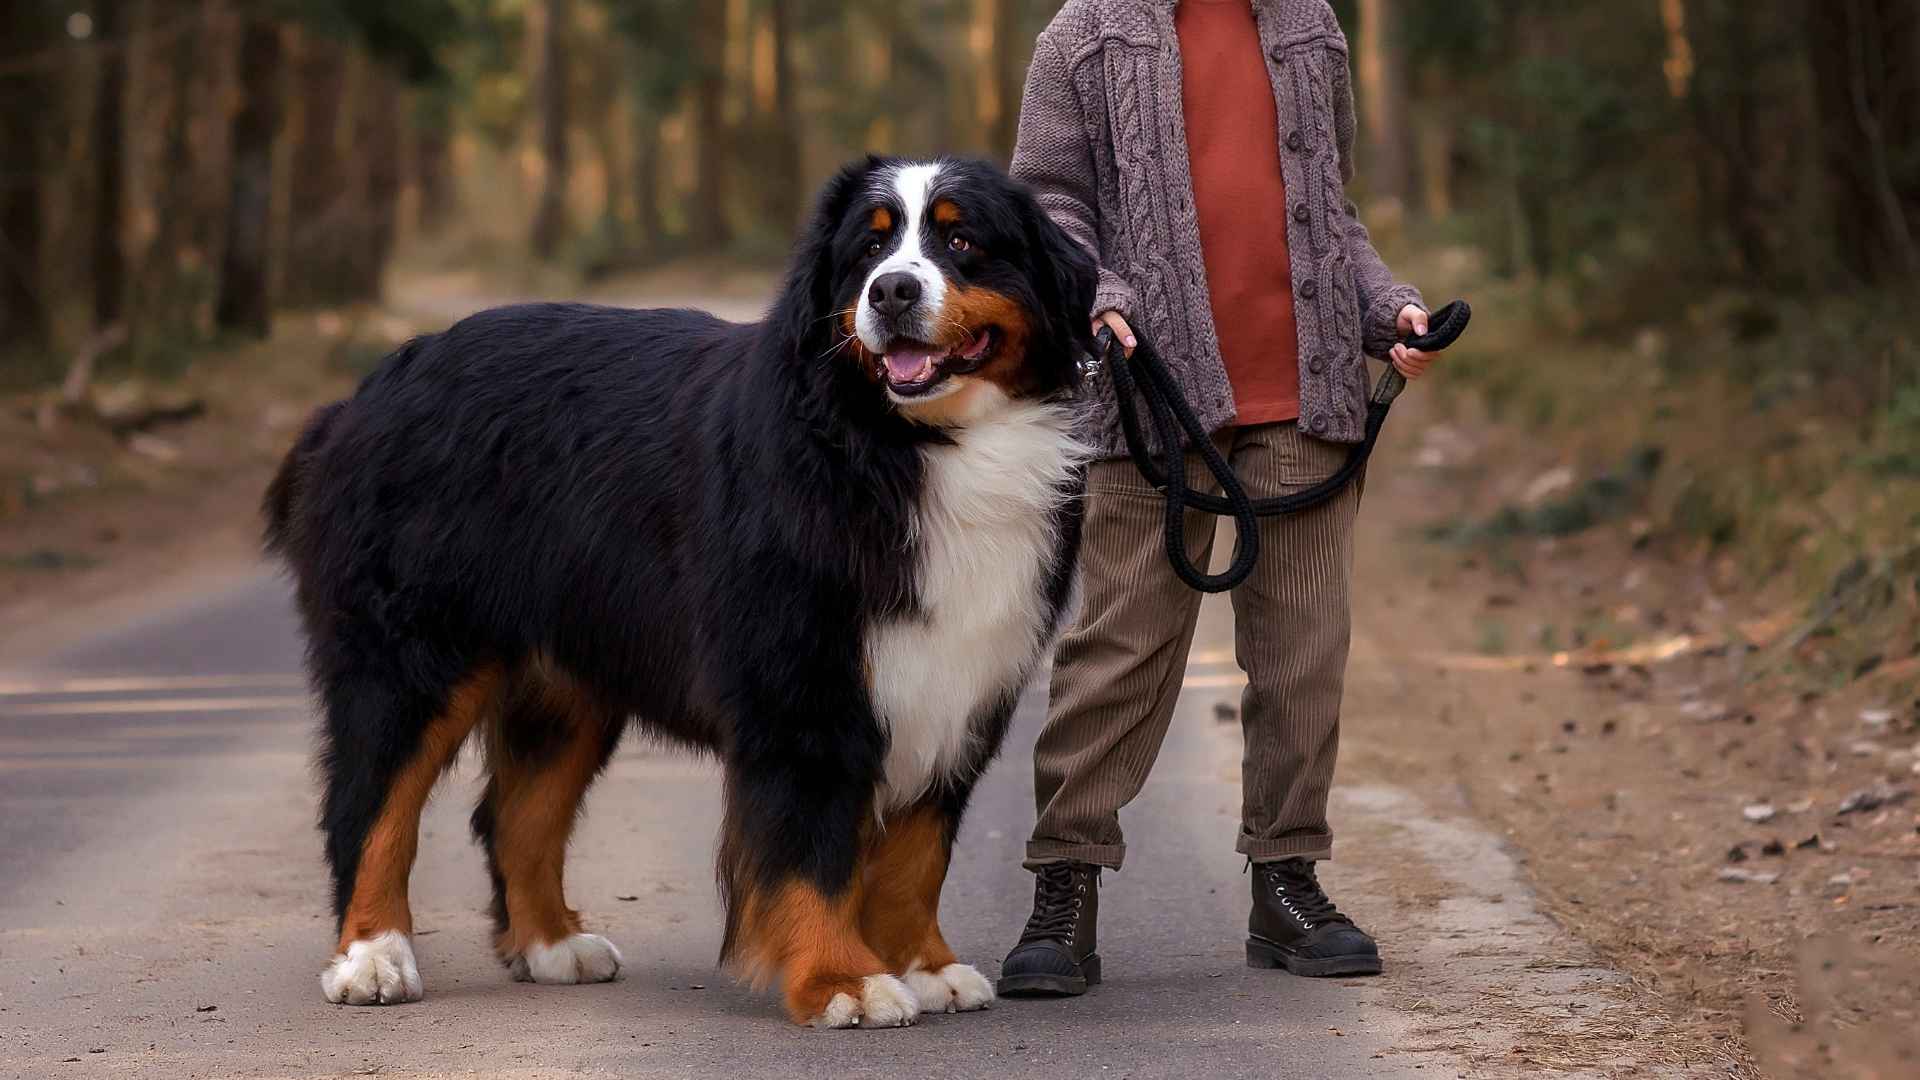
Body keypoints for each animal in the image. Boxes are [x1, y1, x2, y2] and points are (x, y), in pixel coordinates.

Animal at [268, 155, 1105, 1022]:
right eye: (869, 251)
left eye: (962, 239)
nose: (893, 292)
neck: (906, 447)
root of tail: (369, 391)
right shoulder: (801, 683)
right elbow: (810, 845)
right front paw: (842, 979)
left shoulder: (955, 681)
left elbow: (917, 849)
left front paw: (925, 964)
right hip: (412, 654)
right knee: (371, 804)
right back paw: (371, 957)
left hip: (564, 680)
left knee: (516, 812)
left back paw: (552, 945)